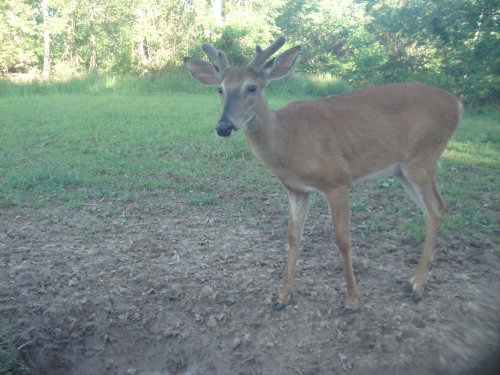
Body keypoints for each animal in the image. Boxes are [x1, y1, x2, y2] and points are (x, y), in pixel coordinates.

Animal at [186, 36, 462, 312]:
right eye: (220, 89)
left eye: (252, 87)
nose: (224, 126)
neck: (288, 140)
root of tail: (457, 103)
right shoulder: (296, 189)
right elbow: (293, 237)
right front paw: (282, 296)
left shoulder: (337, 180)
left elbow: (342, 240)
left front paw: (352, 300)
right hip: (402, 169)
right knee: (431, 210)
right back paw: (413, 281)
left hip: (422, 157)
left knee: (437, 207)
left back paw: (417, 288)